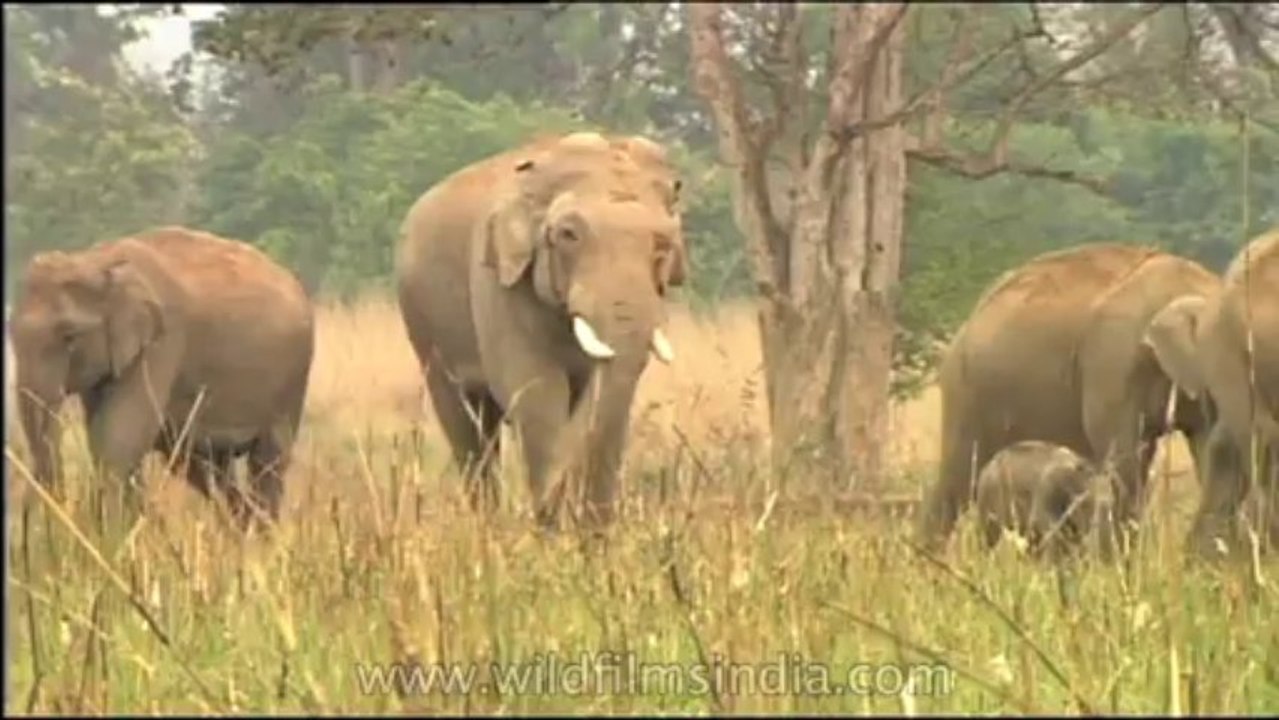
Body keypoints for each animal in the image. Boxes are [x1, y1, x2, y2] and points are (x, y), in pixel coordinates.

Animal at [9, 226, 315, 527]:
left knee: (267, 462)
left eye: (70, 336)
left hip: (291, 381)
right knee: (204, 467)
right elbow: (103, 437)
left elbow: (120, 439)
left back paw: (261, 534)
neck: (96, 261)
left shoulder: (163, 341)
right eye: (10, 332)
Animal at [395, 131, 687, 529]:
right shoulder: (498, 280)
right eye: (568, 234)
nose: (595, 520)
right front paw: (552, 521)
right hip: (423, 322)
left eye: (665, 243)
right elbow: (535, 386)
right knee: (465, 426)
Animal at [974, 440, 1117, 561]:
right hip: (989, 498)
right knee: (990, 538)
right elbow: (1052, 540)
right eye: (1085, 502)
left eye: (1112, 502)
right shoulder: (1046, 494)